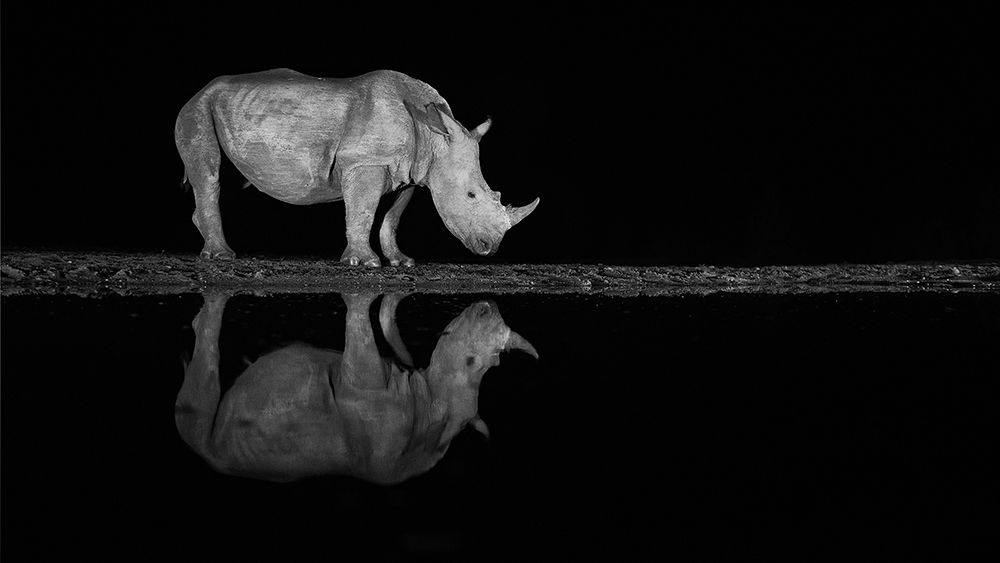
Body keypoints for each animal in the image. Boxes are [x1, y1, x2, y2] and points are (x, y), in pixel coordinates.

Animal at [174, 68, 540, 265]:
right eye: (471, 196)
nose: (490, 248)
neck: (433, 136)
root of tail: (198, 91)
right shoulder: (365, 160)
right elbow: (362, 211)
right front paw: (364, 263)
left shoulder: (411, 172)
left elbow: (392, 217)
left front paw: (401, 261)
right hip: (196, 108)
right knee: (210, 175)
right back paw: (222, 256)